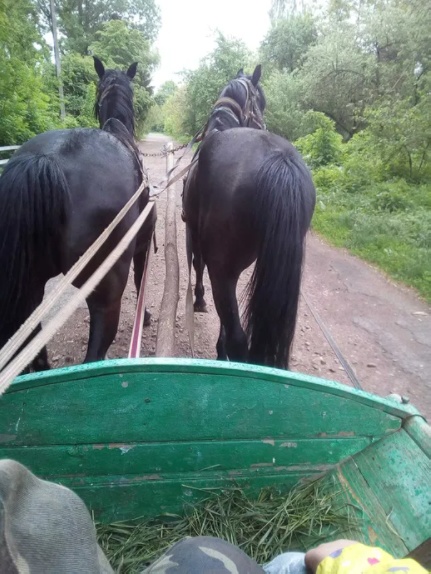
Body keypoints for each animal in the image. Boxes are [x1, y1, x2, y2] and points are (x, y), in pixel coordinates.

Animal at [0, 58, 155, 374]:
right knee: (95, 352)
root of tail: (47, 160)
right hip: (106, 291)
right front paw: (144, 316)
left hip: (31, 288)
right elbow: (140, 281)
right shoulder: (142, 247)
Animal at [183, 64, 318, 368]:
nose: (264, 123)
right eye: (263, 102)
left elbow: (197, 266)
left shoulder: (196, 238)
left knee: (237, 336)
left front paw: (199, 301)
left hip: (222, 267)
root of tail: (280, 162)